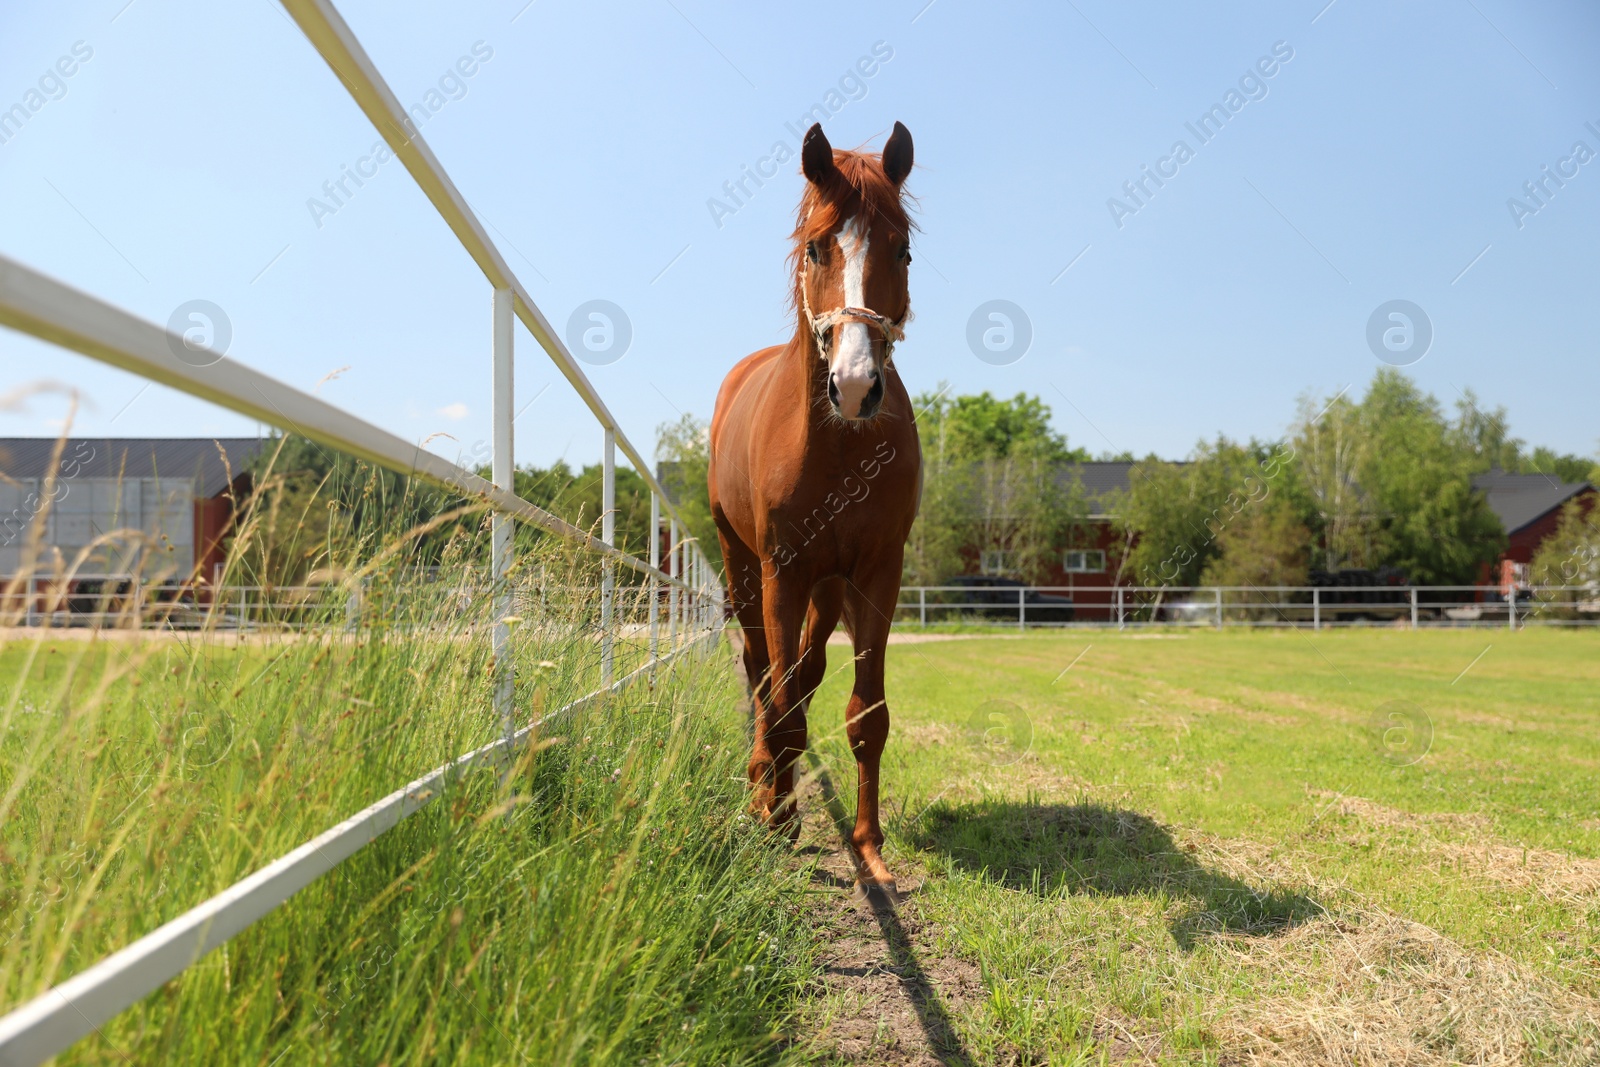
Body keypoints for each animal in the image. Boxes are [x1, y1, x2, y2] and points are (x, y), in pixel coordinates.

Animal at [710, 120, 921, 895]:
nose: (856, 386)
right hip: (744, 567)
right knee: (762, 674)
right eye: (815, 247)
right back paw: (762, 786)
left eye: (902, 248)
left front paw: (868, 847)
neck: (839, 447)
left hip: (828, 591)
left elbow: (865, 714)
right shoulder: (783, 571)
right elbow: (777, 700)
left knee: (800, 679)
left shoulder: (876, 572)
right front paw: (774, 813)